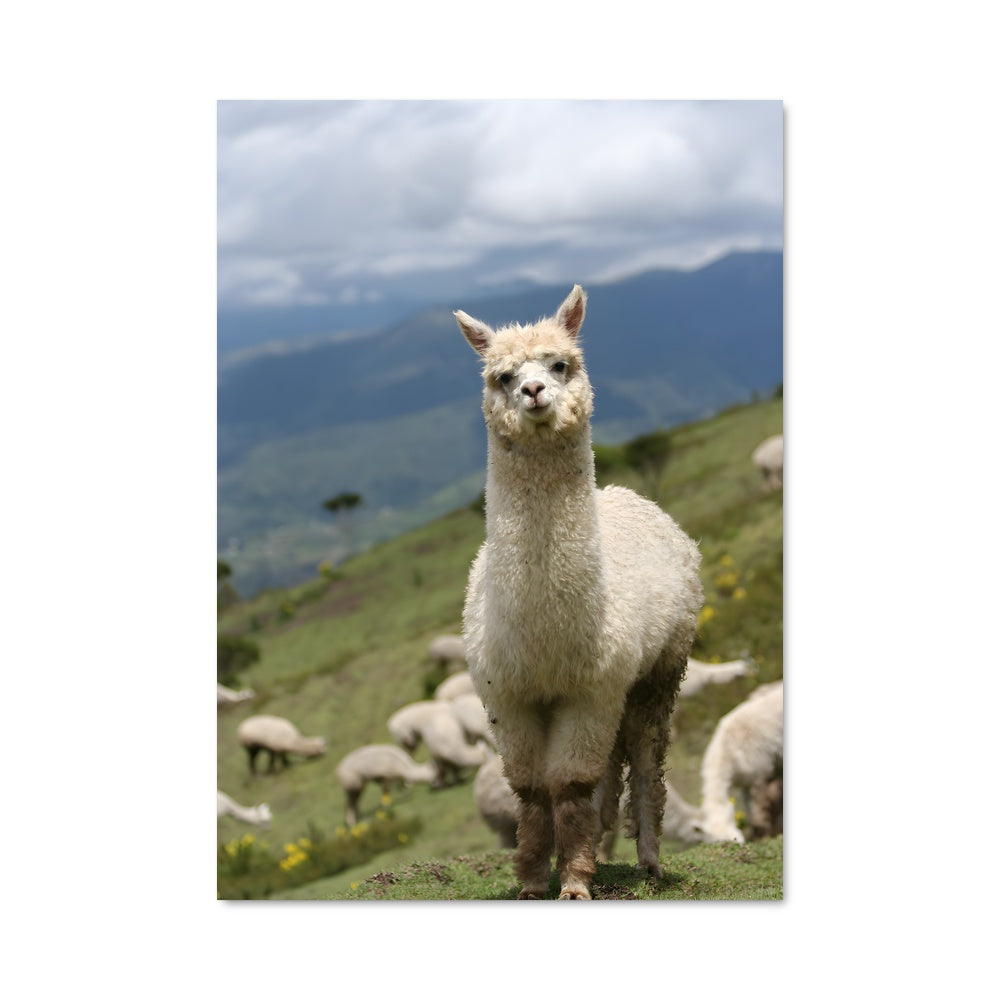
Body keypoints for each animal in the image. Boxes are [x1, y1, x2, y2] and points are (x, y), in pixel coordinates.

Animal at [455, 285, 703, 899]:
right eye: (502, 375)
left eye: (560, 364)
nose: (534, 391)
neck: (544, 631)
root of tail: (628, 496)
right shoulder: (508, 697)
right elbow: (530, 790)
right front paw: (531, 878)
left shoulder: (588, 691)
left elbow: (568, 785)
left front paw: (573, 883)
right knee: (610, 766)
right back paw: (602, 838)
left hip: (660, 671)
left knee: (644, 760)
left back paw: (648, 860)